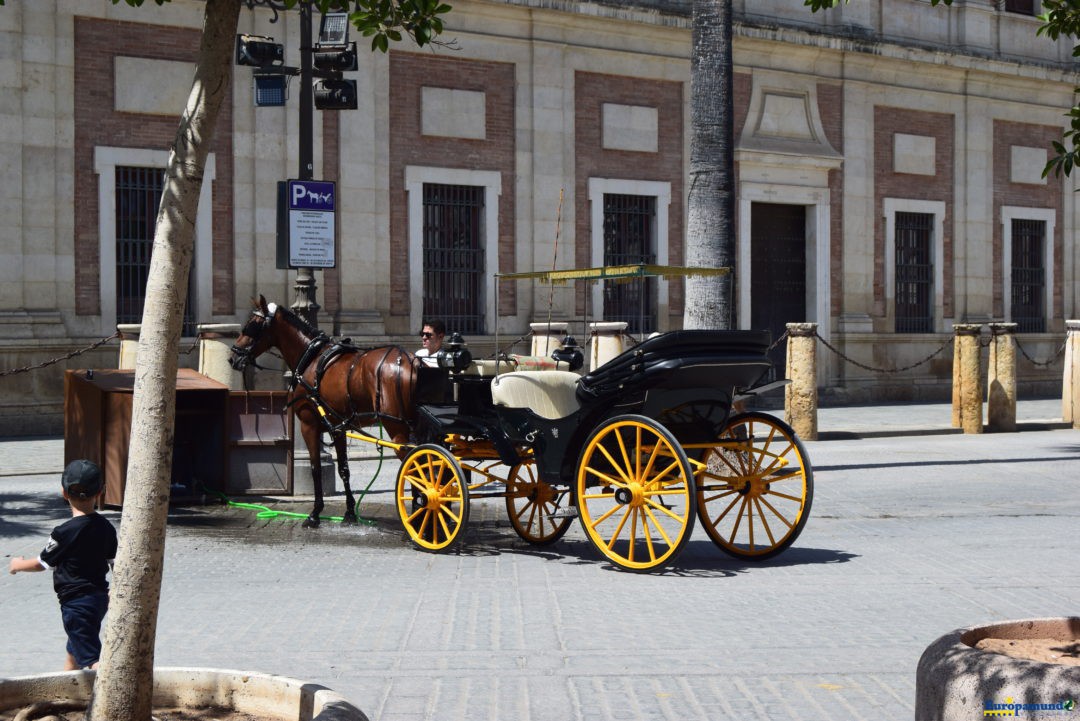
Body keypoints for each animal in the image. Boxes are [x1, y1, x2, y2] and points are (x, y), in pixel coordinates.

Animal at [230, 295, 419, 526]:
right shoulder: (338, 428)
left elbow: (316, 468)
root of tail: (410, 361)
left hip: (397, 427)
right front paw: (349, 512)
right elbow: (344, 469)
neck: (311, 357)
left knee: (416, 464)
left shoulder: (309, 425)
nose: (232, 357)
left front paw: (314, 513)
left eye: (252, 326)